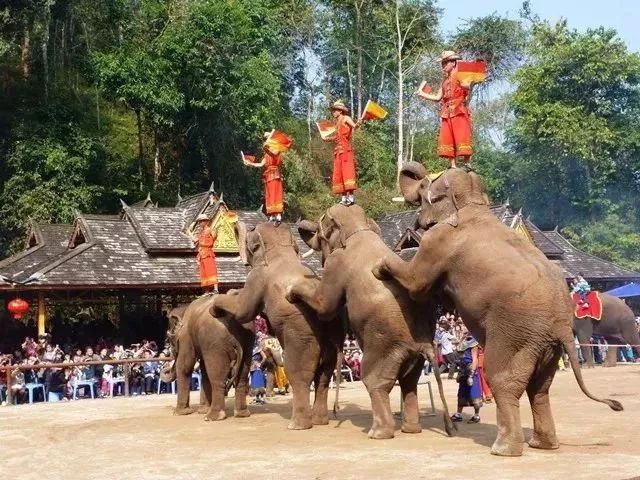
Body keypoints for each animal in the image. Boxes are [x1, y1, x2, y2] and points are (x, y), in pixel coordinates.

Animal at [160, 294, 255, 422]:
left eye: (170, 340)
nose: (164, 366)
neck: (185, 309)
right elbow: (203, 369)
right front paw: (202, 410)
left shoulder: (186, 336)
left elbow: (185, 366)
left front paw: (180, 413)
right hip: (248, 341)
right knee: (242, 376)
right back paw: (241, 414)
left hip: (216, 343)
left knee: (216, 376)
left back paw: (212, 417)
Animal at [211, 223, 344, 430]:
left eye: (249, 237)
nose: (238, 226)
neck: (281, 249)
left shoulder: (257, 277)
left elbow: (243, 311)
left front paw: (217, 306)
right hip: (330, 344)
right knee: (323, 377)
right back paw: (320, 421)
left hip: (301, 338)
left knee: (298, 374)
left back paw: (297, 425)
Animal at [284, 204, 456, 440]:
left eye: (321, 227)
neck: (359, 228)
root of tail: (423, 345)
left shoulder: (336, 263)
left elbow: (325, 306)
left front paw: (290, 293)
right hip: (416, 355)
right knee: (409, 382)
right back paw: (411, 430)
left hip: (383, 347)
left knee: (375, 382)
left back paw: (378, 433)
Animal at [372, 163, 624, 456]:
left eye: (425, 189)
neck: (474, 202)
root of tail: (561, 323)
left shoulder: (438, 241)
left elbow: (416, 283)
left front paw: (378, 268)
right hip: (546, 344)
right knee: (540, 387)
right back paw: (543, 445)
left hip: (515, 333)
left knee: (503, 379)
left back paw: (503, 449)